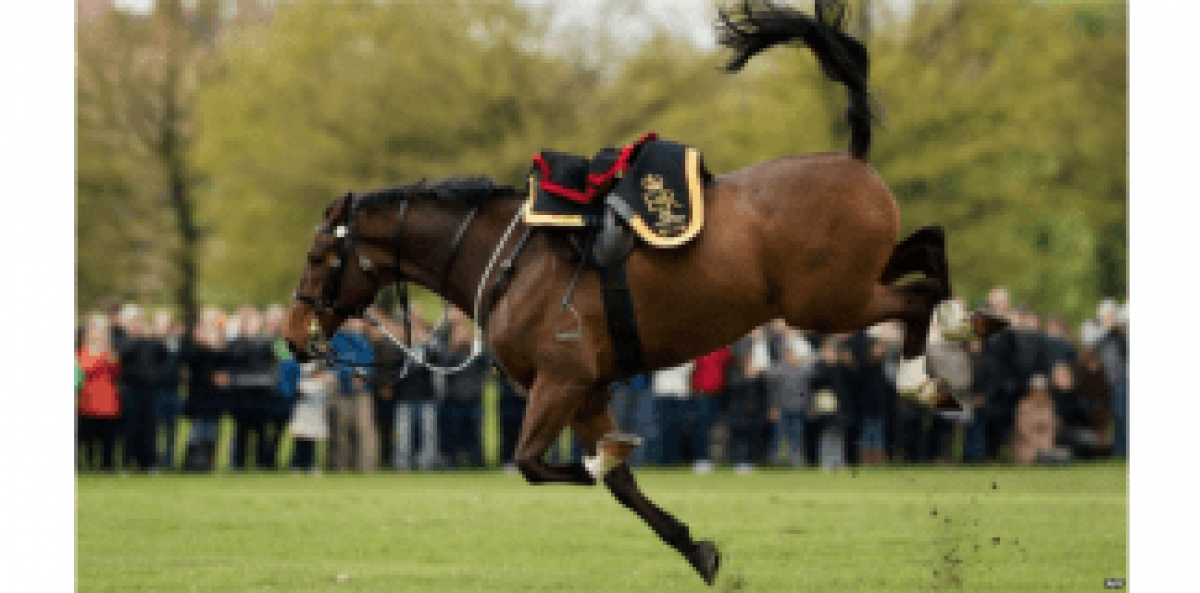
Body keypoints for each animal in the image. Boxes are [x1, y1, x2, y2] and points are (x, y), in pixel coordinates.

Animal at [282, 1, 1007, 585]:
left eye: (319, 257)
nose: (291, 336)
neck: (512, 259)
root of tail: (850, 157)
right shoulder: (587, 390)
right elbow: (620, 485)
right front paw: (696, 547)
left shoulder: (562, 380)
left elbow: (543, 463)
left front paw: (607, 459)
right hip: (856, 278)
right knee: (929, 247)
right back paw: (968, 323)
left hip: (830, 302)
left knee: (916, 297)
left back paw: (928, 374)